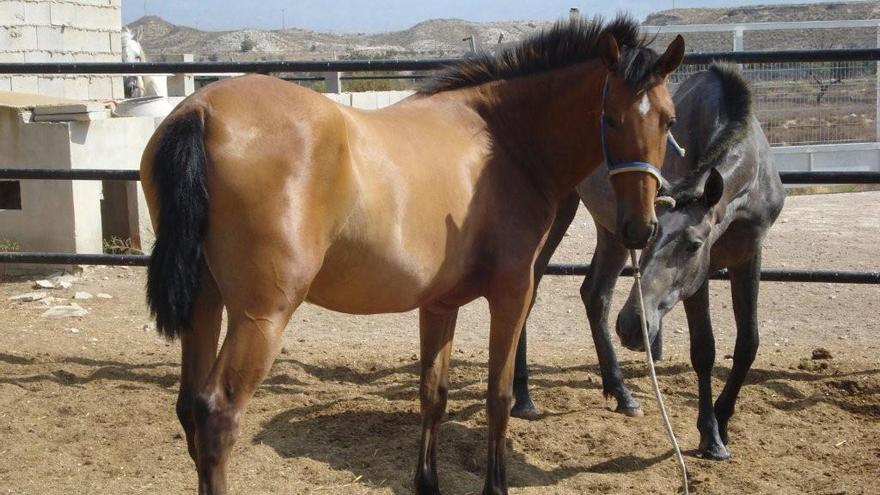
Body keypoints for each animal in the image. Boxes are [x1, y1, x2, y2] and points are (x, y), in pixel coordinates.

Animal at [141, 16, 684, 495]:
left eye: (668, 120)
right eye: (609, 118)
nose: (641, 227)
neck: (502, 139)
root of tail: (202, 112)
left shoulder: (439, 304)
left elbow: (433, 395)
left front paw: (428, 482)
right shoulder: (513, 291)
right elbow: (498, 396)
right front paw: (495, 484)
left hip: (205, 305)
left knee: (189, 408)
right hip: (261, 316)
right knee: (217, 415)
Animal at [512, 63, 788, 462]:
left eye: (693, 245)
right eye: (650, 238)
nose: (631, 326)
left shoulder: (749, 256)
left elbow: (748, 343)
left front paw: (723, 421)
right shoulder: (699, 280)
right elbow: (704, 349)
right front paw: (710, 435)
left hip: (611, 230)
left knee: (595, 294)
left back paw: (622, 394)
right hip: (556, 215)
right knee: (528, 292)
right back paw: (522, 397)